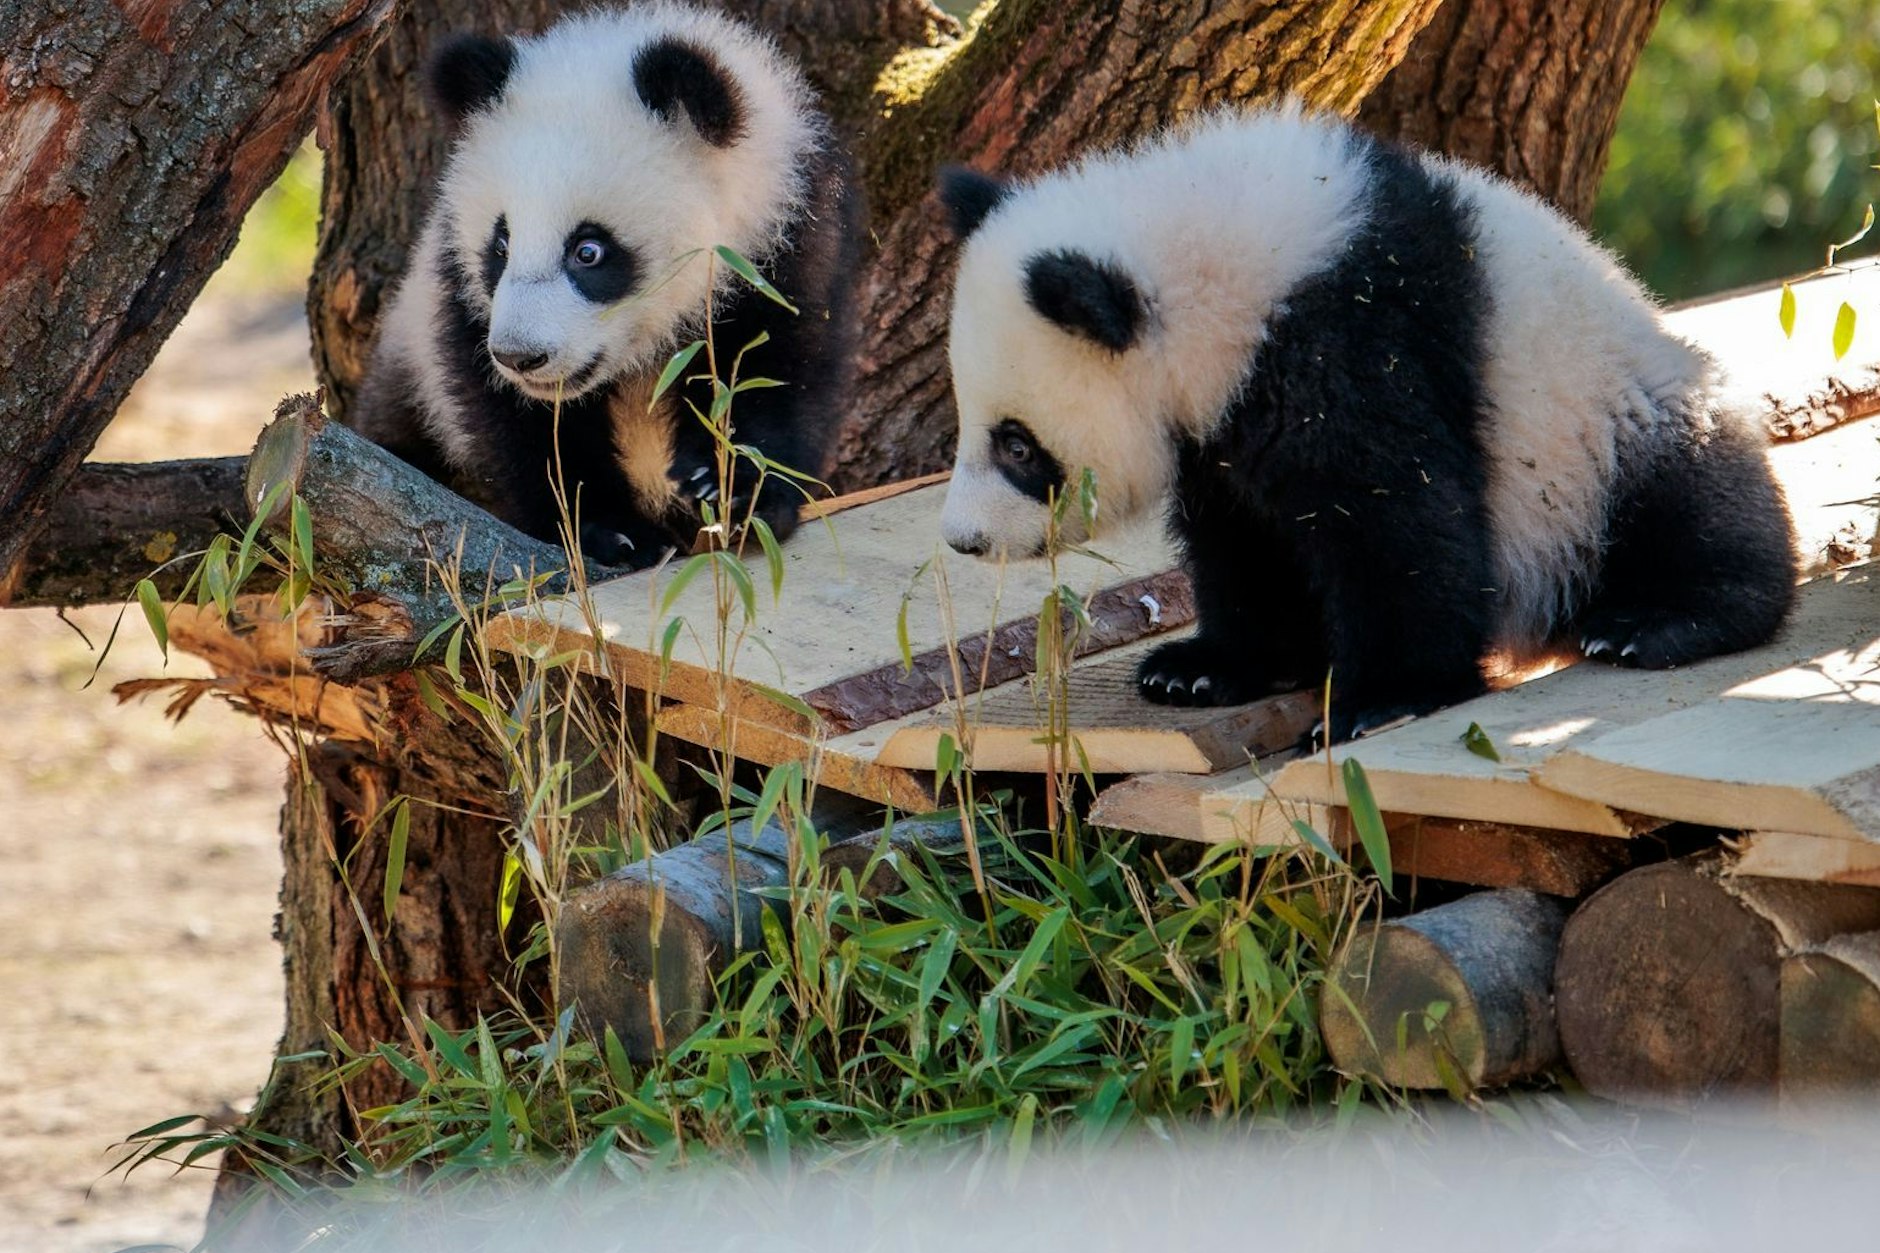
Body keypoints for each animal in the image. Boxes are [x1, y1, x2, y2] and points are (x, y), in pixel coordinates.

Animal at [352, 3, 860, 568]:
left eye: (588, 251)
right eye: (501, 245)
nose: (520, 357)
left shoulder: (783, 242)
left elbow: (775, 370)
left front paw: (731, 492)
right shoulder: (456, 294)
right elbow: (523, 427)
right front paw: (613, 531)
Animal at [936, 106, 1797, 744]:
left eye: (1018, 445)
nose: (964, 541)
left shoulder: (1351, 338)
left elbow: (1397, 519)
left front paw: (1383, 697)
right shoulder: (1222, 420)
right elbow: (1244, 539)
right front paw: (1203, 666)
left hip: (1604, 426)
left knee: (1687, 498)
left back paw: (1657, 619)